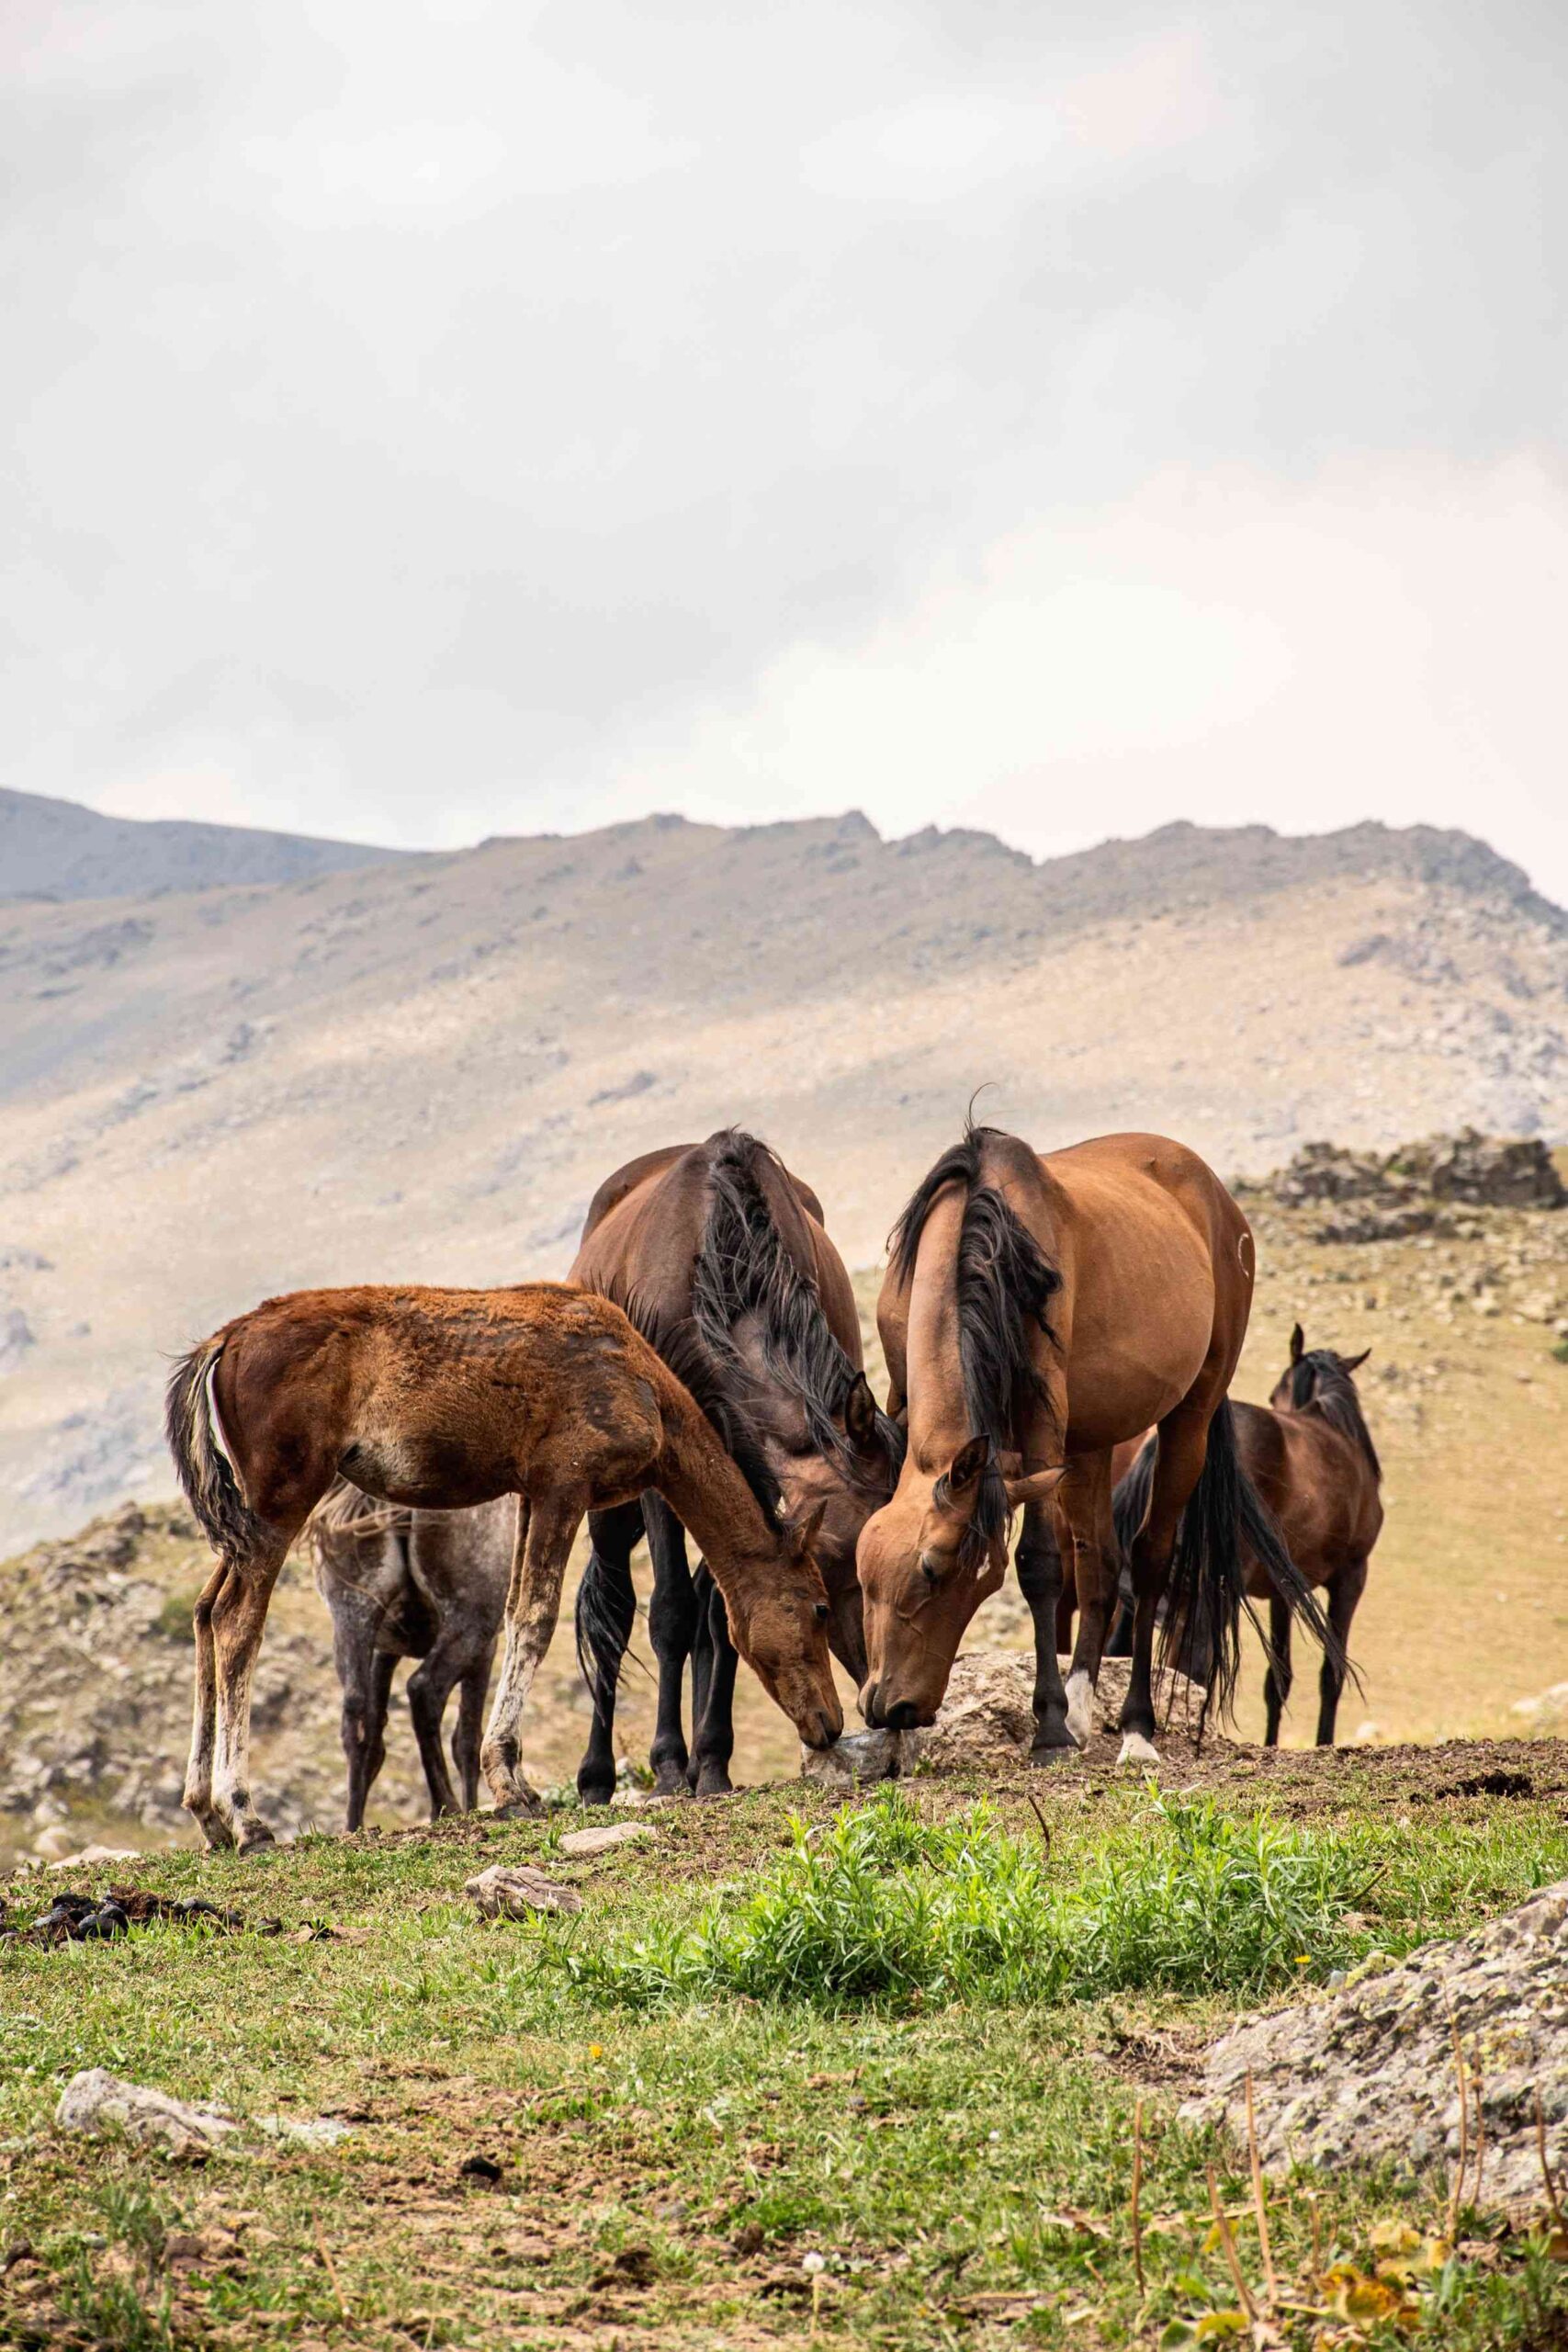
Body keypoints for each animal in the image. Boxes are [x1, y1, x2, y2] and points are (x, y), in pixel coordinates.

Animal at [305, 1483, 513, 1829]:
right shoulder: (486, 1649)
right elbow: (467, 1741)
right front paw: (472, 1807)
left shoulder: (385, 1649)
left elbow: (374, 1738)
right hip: (471, 1621)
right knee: (424, 1690)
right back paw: (446, 1805)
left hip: (353, 1614)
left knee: (354, 1715)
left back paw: (353, 1826)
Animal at [568, 1130, 903, 1801]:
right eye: (844, 1552)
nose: (876, 1697)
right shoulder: (665, 1468)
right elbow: (669, 1610)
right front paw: (669, 1765)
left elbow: (724, 1614)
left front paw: (711, 1763)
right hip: (612, 1503)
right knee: (613, 1607)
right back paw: (596, 1776)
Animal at [855, 1123, 1336, 1764]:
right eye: (930, 1569)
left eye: (949, 1574)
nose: (898, 1708)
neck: (981, 1238)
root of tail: (1216, 1196)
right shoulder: (902, 1396)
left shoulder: (1042, 1425)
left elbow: (1038, 1565)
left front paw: (1050, 1729)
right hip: (1091, 1441)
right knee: (1100, 1563)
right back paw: (1085, 1710)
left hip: (1190, 1416)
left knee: (1149, 1558)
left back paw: (1134, 1727)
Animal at [1112, 1324, 1379, 1743]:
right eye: (1273, 1395)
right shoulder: (1351, 1576)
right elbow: (1332, 1673)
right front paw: (1323, 1741)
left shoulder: (1285, 1593)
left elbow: (1279, 1679)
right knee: (1192, 1662)